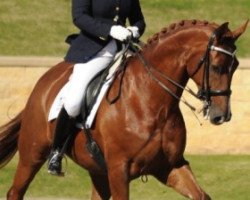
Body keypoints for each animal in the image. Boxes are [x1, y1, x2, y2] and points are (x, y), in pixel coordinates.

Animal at [0, 20, 247, 200]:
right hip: (32, 154)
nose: (222, 115)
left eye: (235, 66)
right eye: (216, 66)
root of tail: (45, 80)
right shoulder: (119, 170)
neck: (152, 101)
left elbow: (201, 195)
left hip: (97, 170)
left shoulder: (170, 165)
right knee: (15, 192)